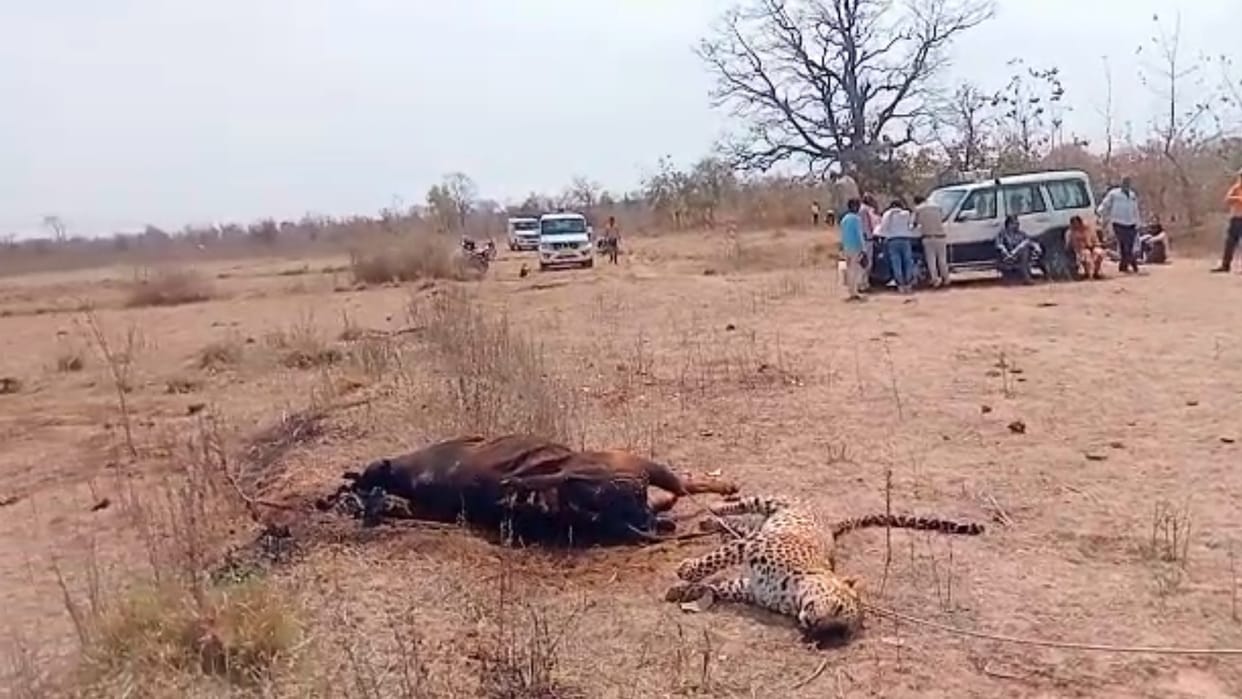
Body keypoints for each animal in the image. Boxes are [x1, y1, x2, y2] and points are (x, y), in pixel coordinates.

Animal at [665, 495, 984, 644]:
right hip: (773, 504)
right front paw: (686, 571)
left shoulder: (748, 587)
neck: (792, 590)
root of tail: (830, 525)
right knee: (744, 504)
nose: (816, 625)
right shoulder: (754, 546)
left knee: (737, 526)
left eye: (837, 631)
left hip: (759, 526)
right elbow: (713, 561)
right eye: (839, 609)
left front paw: (682, 590)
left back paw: (711, 521)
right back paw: (716, 507)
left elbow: (716, 586)